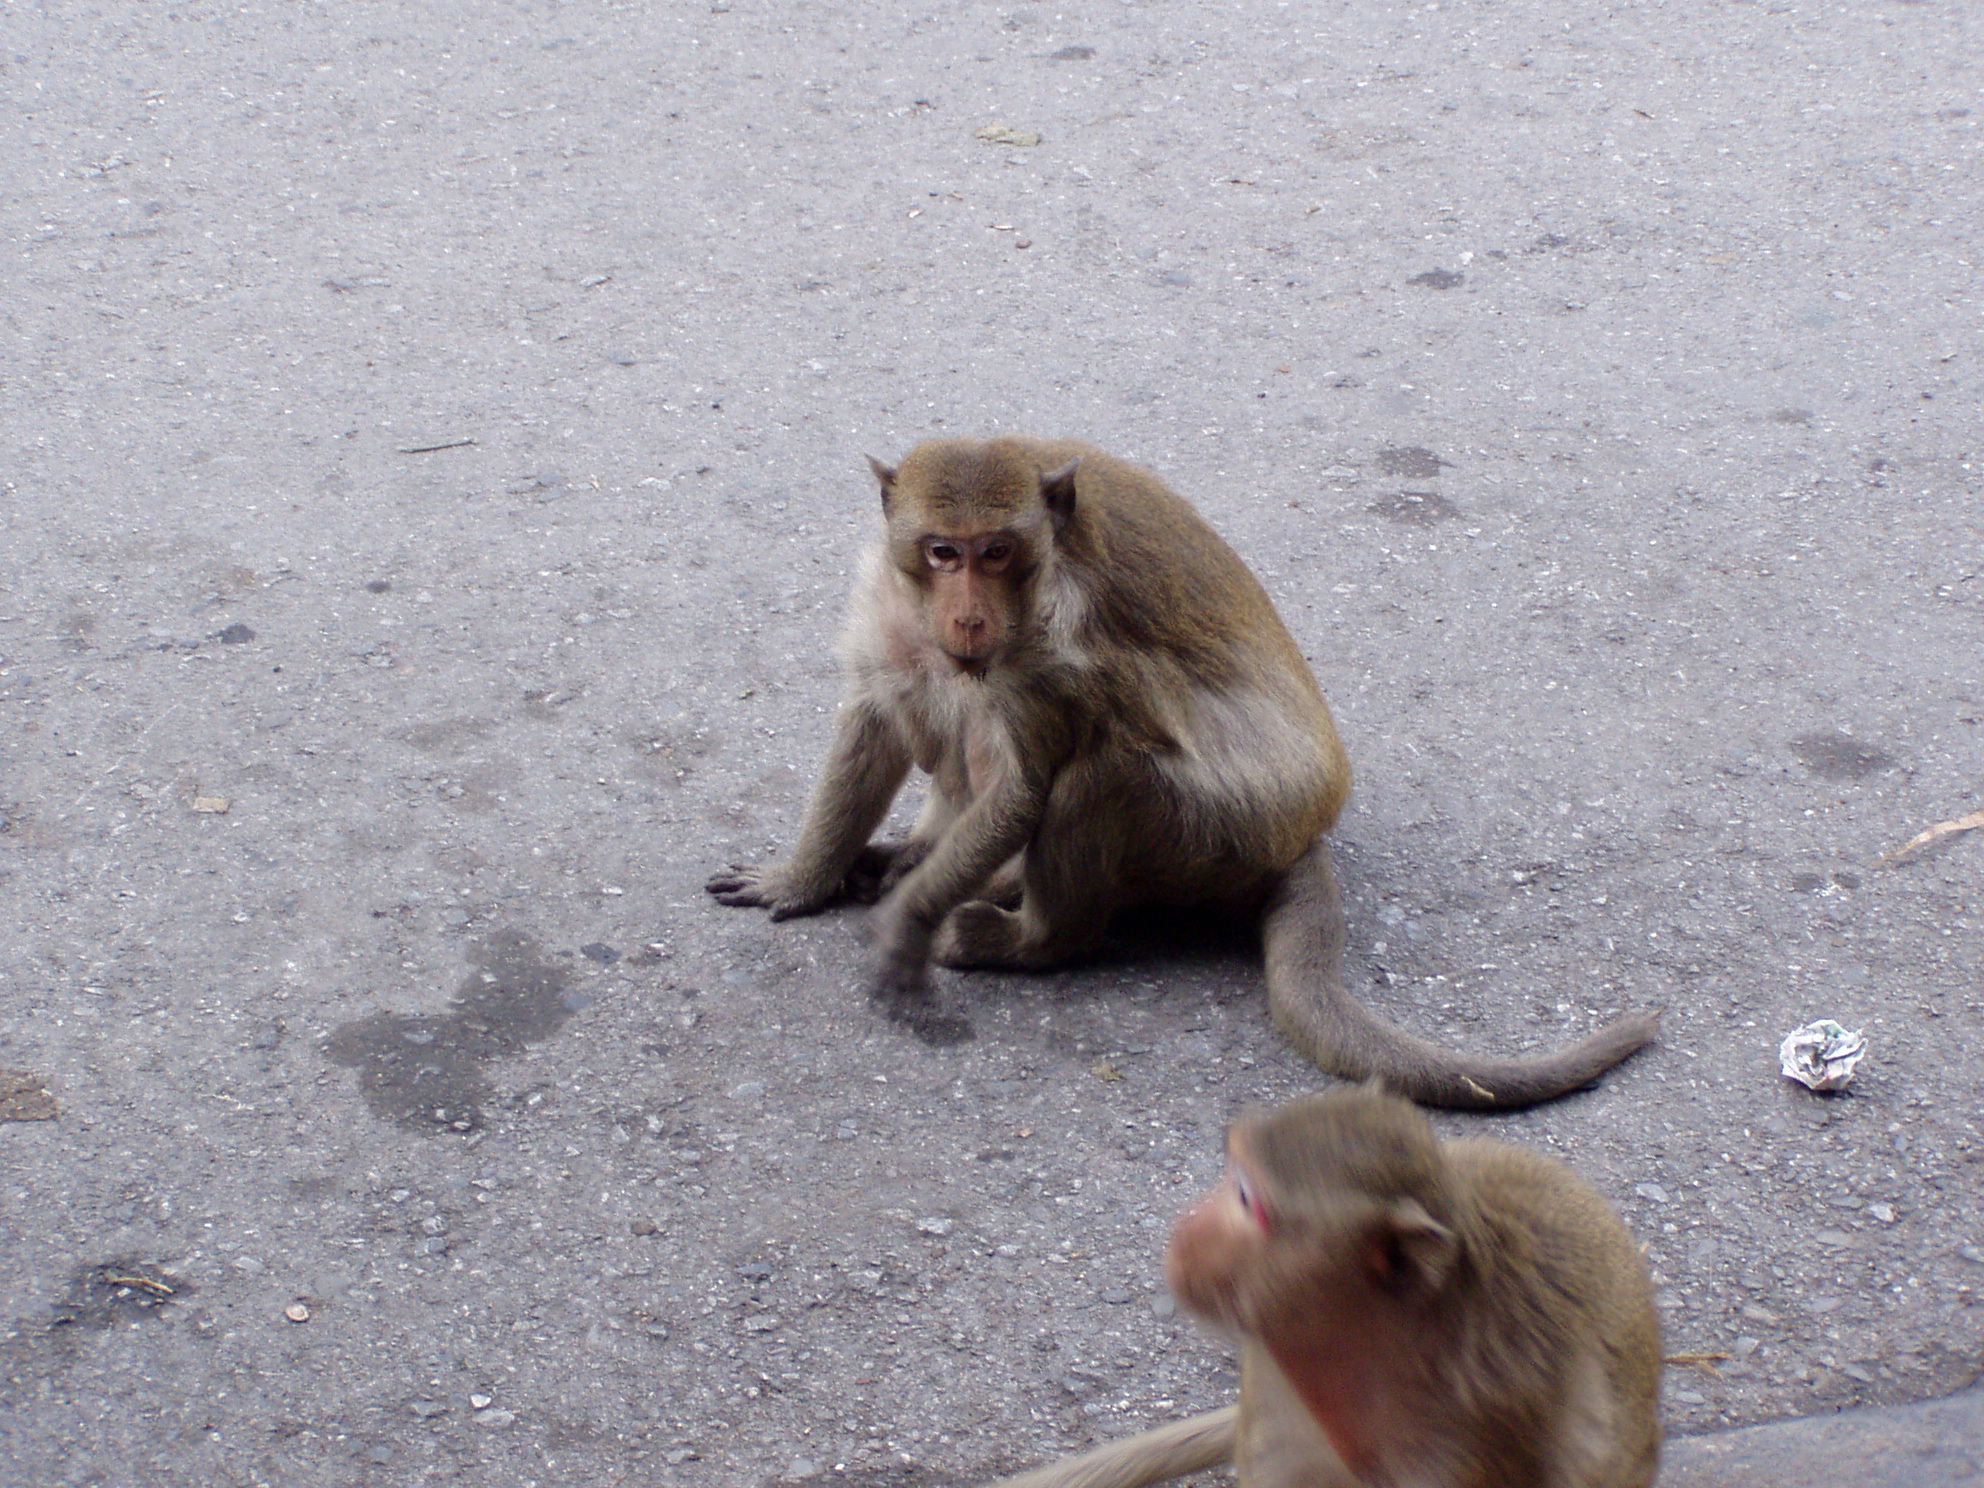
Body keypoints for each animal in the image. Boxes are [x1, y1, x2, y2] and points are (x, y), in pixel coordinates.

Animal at [710, 436, 1658, 1111]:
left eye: (998, 554)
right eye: (944, 552)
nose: (971, 616)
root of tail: (1304, 836)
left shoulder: (1051, 645)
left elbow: (1027, 784)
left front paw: (906, 921)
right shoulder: (888, 605)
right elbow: (873, 721)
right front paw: (805, 876)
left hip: (1213, 838)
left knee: (1106, 763)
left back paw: (1030, 936)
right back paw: (920, 851)